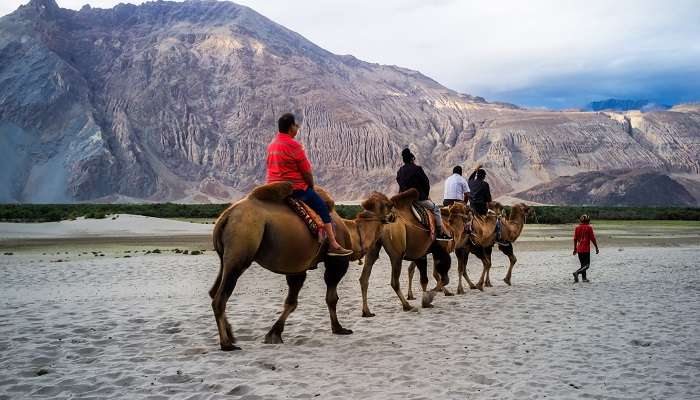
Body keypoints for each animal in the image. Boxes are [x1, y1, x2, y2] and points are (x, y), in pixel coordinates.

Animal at [208, 183, 396, 352]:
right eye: (388, 204)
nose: (394, 216)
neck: (352, 232)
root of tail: (227, 215)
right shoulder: (336, 262)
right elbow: (332, 298)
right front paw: (339, 328)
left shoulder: (298, 267)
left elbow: (291, 302)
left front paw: (274, 334)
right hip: (241, 246)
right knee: (220, 297)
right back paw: (227, 344)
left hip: (225, 258)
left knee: (214, 291)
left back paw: (231, 334)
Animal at [360, 189, 470, 318]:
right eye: (468, 210)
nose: (470, 228)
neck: (451, 228)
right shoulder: (441, 251)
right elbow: (443, 278)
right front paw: (428, 299)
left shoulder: (421, 253)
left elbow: (424, 279)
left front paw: (425, 298)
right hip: (397, 254)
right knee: (394, 281)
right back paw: (407, 306)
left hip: (372, 247)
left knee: (364, 278)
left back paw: (367, 311)